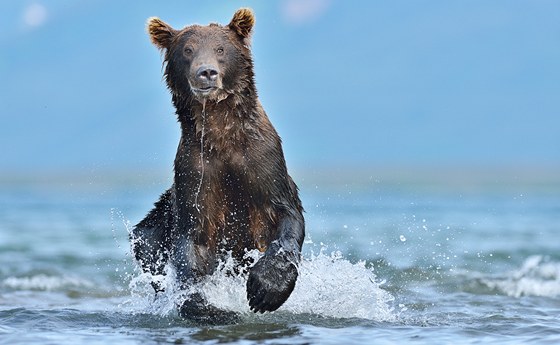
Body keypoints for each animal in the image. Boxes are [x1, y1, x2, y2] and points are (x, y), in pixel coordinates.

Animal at [130, 7, 306, 320]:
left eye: (221, 49)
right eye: (187, 50)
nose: (206, 72)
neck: (222, 134)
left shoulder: (263, 161)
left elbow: (285, 217)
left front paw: (265, 290)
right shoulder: (197, 170)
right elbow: (193, 241)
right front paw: (205, 305)